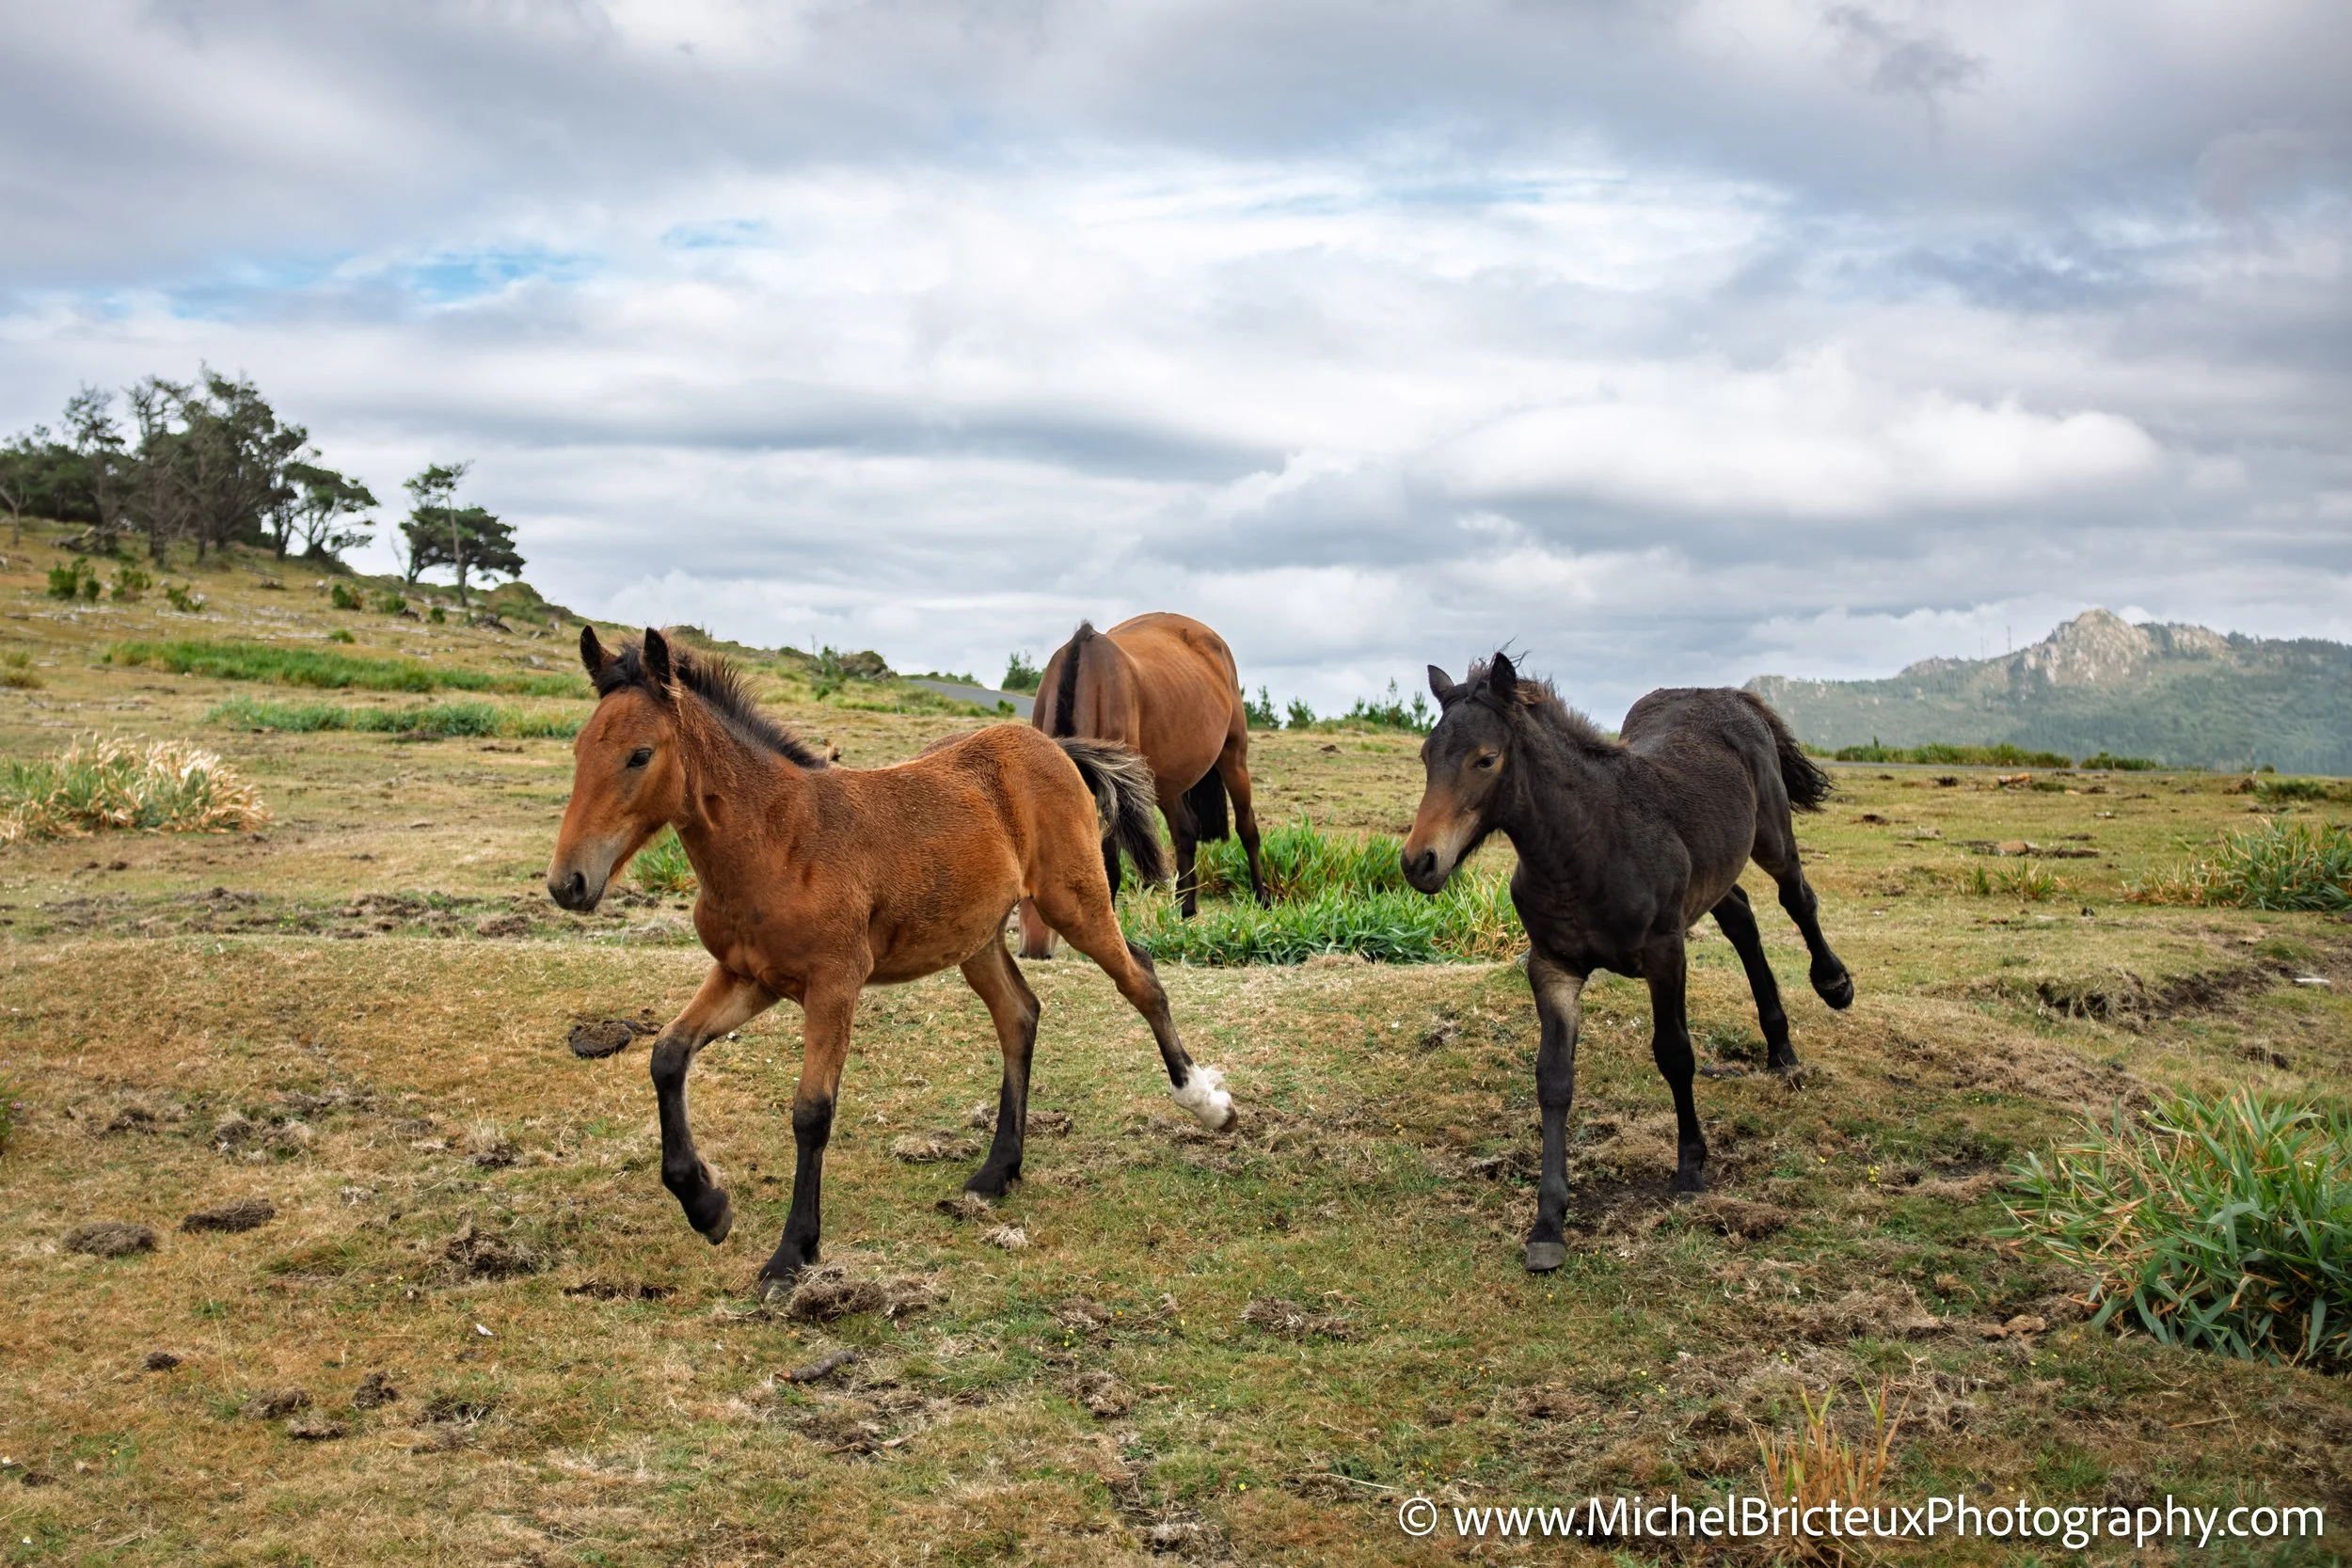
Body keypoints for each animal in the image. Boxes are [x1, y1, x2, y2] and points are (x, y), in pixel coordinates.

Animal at [546, 626, 1238, 1297]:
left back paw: (1207, 1104)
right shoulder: (747, 975)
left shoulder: (834, 983)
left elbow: (811, 1111)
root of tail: (1054, 746)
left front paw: (791, 1255)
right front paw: (707, 1205)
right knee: (1019, 1014)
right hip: (976, 939)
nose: (568, 883)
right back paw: (996, 1171)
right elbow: (667, 1054)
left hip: (1075, 901)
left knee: (1140, 978)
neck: (780, 840)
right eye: (578, 750)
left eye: (640, 754)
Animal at [1016, 613, 1270, 959]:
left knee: (1248, 829)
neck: (1087, 678)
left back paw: (1262, 900)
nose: (1033, 950)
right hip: (1166, 779)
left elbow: (1110, 865)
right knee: (1185, 833)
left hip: (1233, 756)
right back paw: (1185, 909)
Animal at [1401, 654, 1853, 1273]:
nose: (1418, 862)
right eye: (1426, 756)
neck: (1585, 849)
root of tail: (1724, 693)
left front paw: (1690, 1168)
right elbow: (1553, 1079)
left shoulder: (1666, 953)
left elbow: (1675, 1054)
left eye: (1486, 759)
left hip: (1771, 835)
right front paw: (1548, 1223)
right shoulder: (1552, 968)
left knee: (1796, 897)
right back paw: (1779, 1046)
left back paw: (1833, 985)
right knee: (1740, 916)